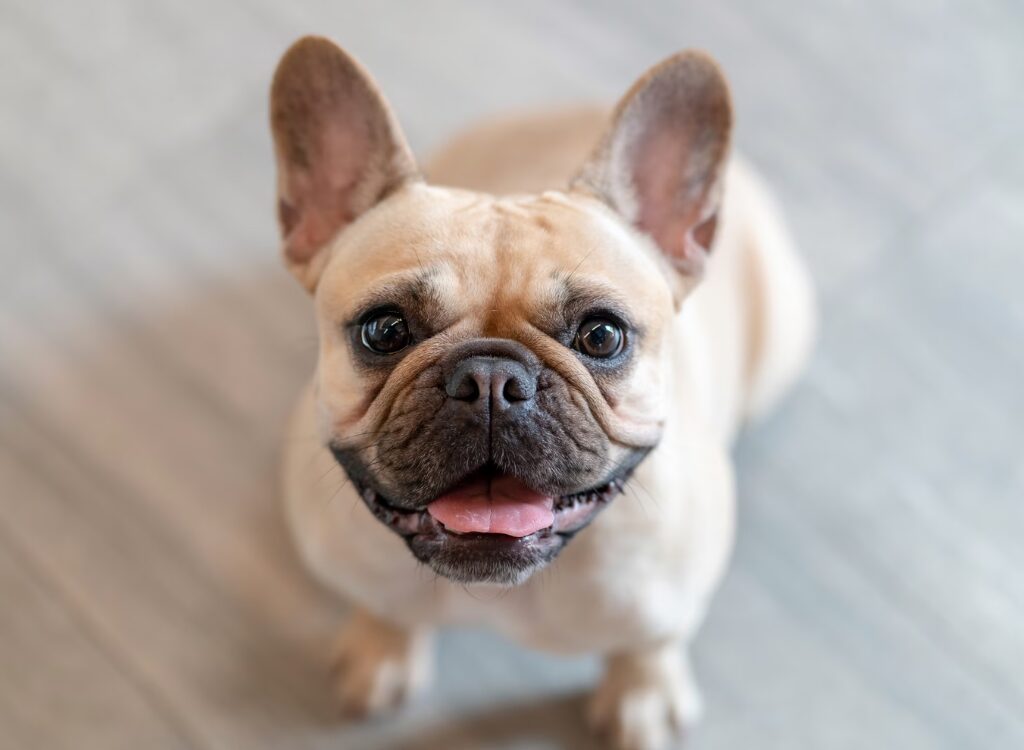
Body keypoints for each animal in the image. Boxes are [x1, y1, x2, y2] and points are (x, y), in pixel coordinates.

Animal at [272, 36, 815, 750]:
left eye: (603, 336)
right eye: (384, 329)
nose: (491, 380)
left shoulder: (669, 600)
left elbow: (651, 642)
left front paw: (641, 695)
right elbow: (384, 604)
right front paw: (382, 647)